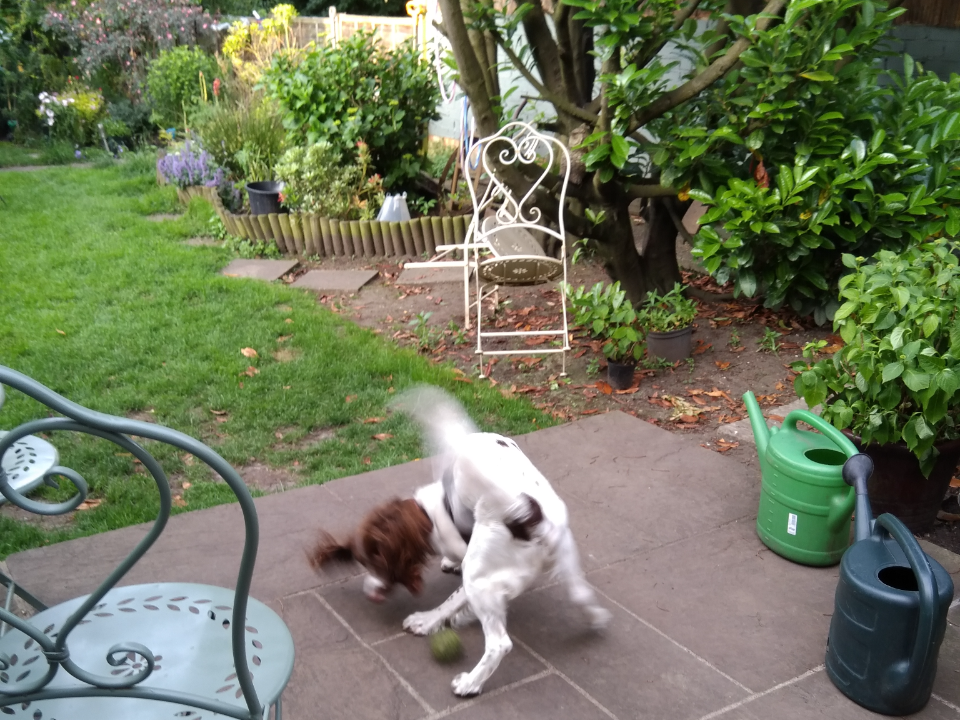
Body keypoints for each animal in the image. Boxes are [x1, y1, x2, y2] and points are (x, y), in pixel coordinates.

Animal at [308, 386, 611, 696]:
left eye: (376, 561)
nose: (371, 593)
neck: (432, 512)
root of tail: (530, 516)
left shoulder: (474, 566)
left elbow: (453, 599)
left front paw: (429, 619)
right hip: (566, 554)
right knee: (583, 598)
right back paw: (595, 618)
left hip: (479, 573)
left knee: (500, 643)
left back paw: (469, 683)